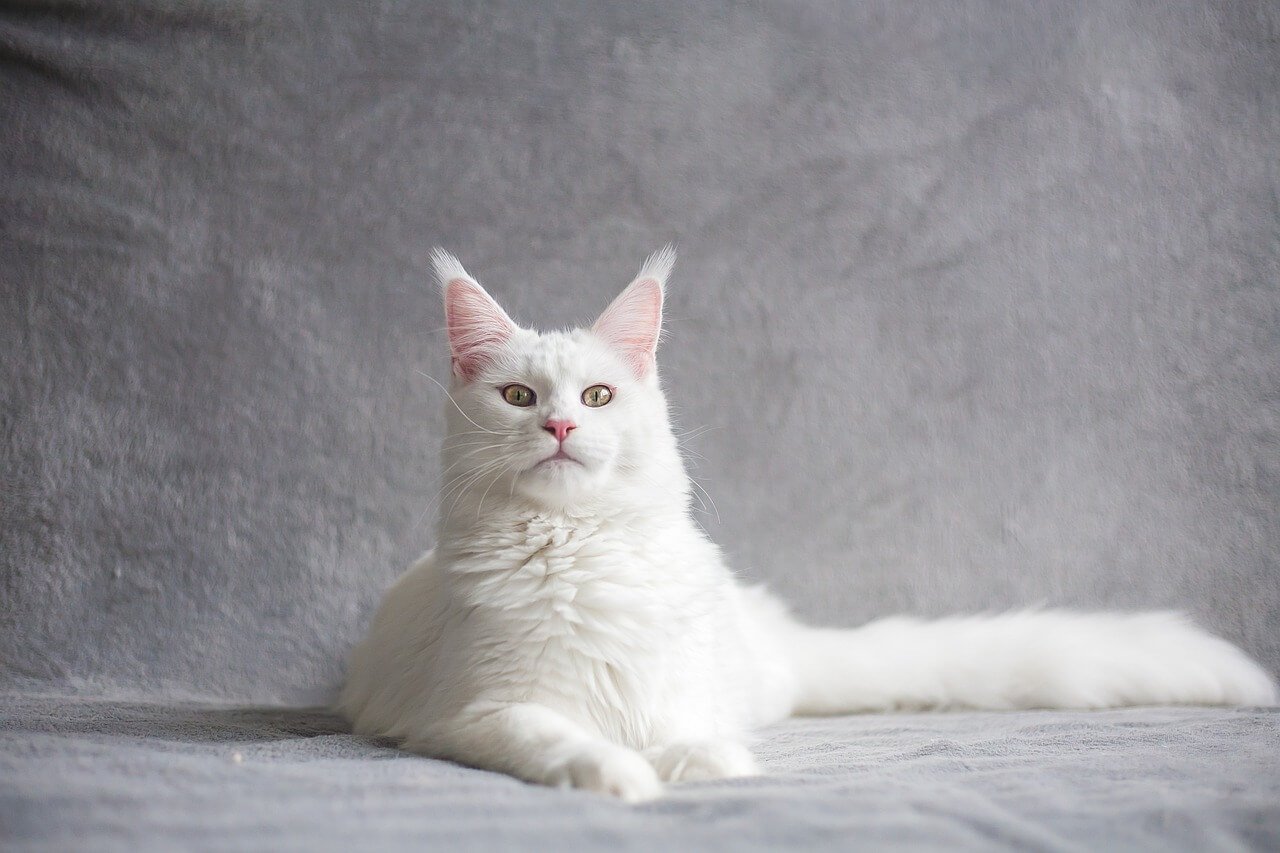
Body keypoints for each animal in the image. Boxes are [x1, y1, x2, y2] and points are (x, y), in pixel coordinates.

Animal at [335, 245, 1274, 799]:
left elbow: (684, 735)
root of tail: (773, 636)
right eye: (519, 396)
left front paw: (704, 766)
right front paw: (622, 776)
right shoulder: (480, 710)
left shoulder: (673, 691)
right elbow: (566, 741)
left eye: (597, 397)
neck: (581, 547)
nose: (561, 427)